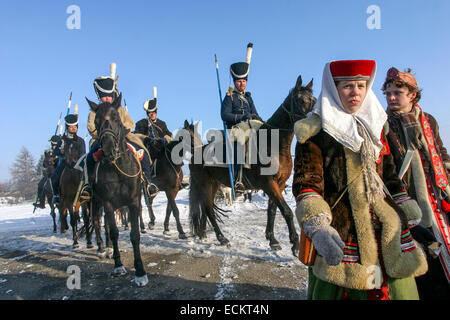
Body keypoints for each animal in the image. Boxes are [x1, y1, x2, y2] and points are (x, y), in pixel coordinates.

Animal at [85, 94, 148, 286]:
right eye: (96, 121)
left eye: (115, 118)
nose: (107, 149)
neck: (117, 167)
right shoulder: (108, 203)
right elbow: (113, 233)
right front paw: (118, 265)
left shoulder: (133, 202)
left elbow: (135, 235)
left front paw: (140, 272)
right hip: (95, 202)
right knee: (98, 223)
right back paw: (102, 249)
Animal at [188, 76, 314, 256]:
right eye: (300, 100)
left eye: (314, 100)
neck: (274, 145)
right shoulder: (269, 184)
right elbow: (287, 211)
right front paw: (295, 244)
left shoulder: (279, 184)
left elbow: (272, 211)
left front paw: (272, 240)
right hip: (205, 184)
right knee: (209, 209)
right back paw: (222, 238)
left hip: (214, 185)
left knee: (206, 208)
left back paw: (204, 234)